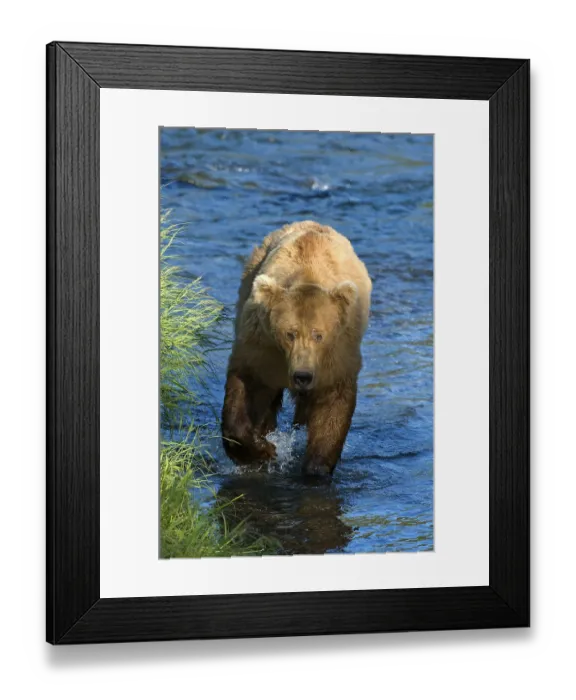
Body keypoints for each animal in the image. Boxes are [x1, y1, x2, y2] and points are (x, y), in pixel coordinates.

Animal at [221, 220, 372, 476]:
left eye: (319, 335)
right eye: (289, 334)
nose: (302, 376)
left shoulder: (336, 354)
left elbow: (332, 405)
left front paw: (316, 467)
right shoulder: (263, 345)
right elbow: (246, 386)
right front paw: (262, 450)